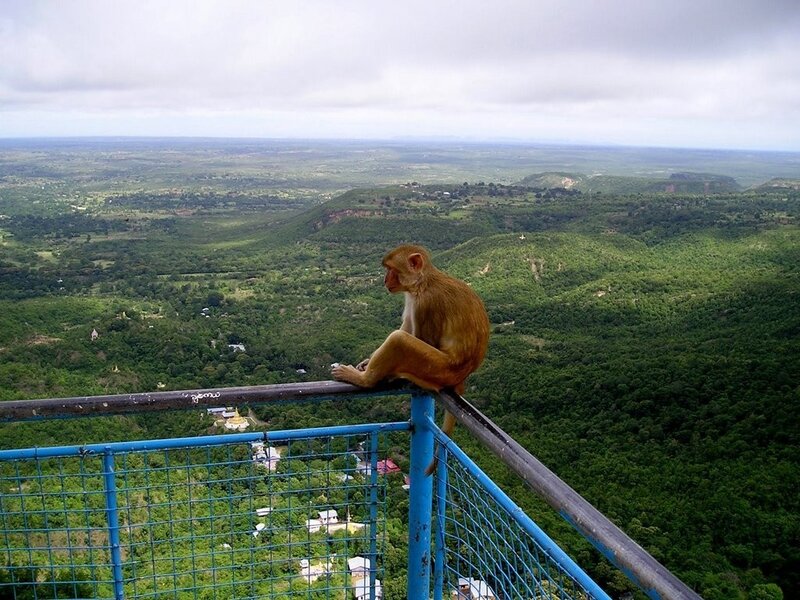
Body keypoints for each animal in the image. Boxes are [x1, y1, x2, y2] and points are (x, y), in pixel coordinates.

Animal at [332, 244, 490, 474]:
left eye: (391, 269)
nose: (384, 280)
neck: (421, 283)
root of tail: (461, 378)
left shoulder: (426, 303)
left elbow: (421, 338)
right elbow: (406, 326)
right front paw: (366, 362)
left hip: (436, 368)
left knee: (399, 340)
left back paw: (366, 379)